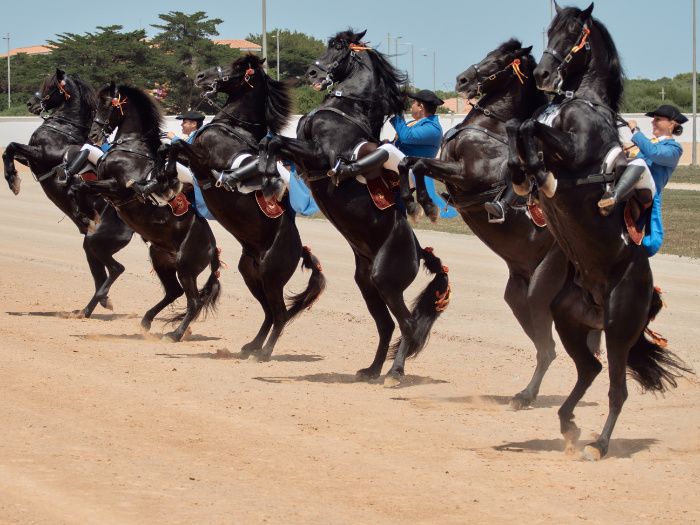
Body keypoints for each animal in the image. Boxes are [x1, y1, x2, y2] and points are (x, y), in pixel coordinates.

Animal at [75, 83, 220, 340]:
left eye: (106, 104)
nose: (93, 136)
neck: (130, 149)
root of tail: (213, 249)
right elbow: (79, 185)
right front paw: (84, 214)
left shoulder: (118, 188)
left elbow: (85, 185)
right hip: (161, 259)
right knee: (173, 292)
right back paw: (145, 320)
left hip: (186, 268)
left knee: (192, 301)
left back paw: (174, 334)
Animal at [162, 55, 328, 362]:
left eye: (238, 67)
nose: (201, 76)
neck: (233, 128)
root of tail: (299, 249)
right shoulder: (195, 160)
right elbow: (172, 147)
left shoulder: (203, 160)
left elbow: (178, 145)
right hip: (251, 273)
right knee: (269, 314)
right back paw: (252, 346)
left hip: (272, 277)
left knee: (280, 314)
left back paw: (264, 352)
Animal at [258, 29, 448, 380]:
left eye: (338, 48)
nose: (312, 73)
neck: (346, 110)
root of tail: (419, 253)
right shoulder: (302, 153)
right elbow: (270, 141)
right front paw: (265, 177)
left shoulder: (320, 155)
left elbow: (275, 141)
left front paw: (268, 178)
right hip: (368, 284)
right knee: (387, 326)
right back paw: (372, 370)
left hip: (387, 281)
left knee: (407, 324)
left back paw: (395, 373)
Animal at [396, 40, 592, 410]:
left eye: (500, 60)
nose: (462, 78)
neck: (491, 130)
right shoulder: (446, 168)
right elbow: (410, 163)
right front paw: (418, 202)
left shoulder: (466, 175)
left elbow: (418, 163)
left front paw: (424, 204)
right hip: (517, 296)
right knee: (552, 347)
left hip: (539, 290)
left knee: (548, 350)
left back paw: (526, 396)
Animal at [506, 2, 692, 456]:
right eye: (550, 29)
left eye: (575, 33)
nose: (543, 75)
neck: (585, 105)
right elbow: (519, 129)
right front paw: (522, 175)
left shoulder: (574, 151)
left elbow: (530, 129)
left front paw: (541, 177)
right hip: (570, 321)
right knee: (589, 369)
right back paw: (567, 423)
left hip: (619, 329)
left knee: (616, 389)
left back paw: (598, 444)